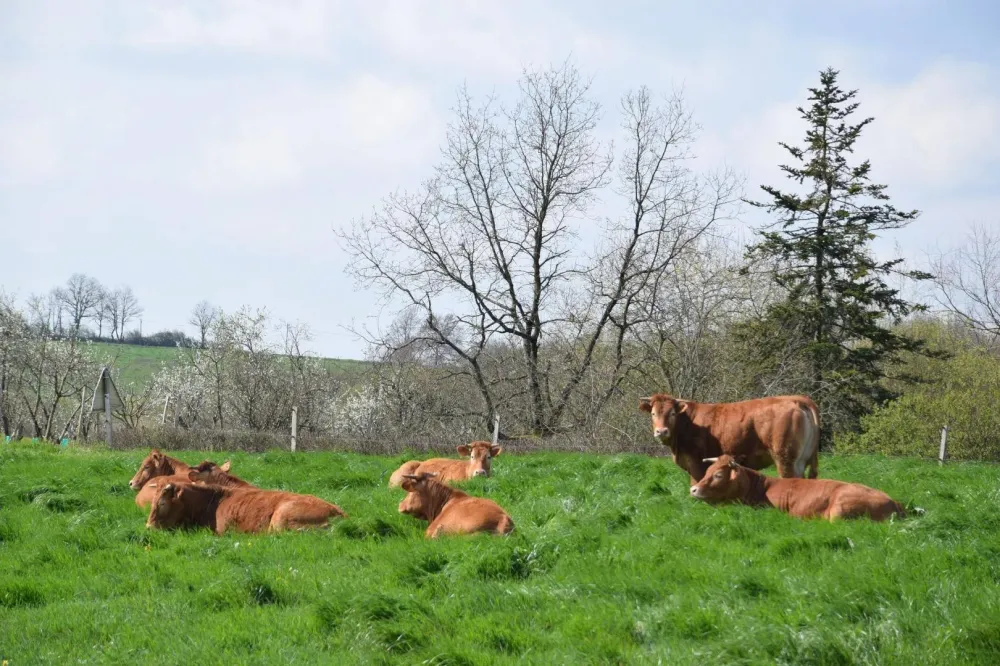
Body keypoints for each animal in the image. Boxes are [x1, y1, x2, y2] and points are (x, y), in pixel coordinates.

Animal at [638, 393, 820, 485]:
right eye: (653, 413)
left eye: (672, 413)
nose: (661, 431)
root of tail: (796, 399)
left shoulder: (695, 463)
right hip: (803, 459)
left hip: (785, 459)